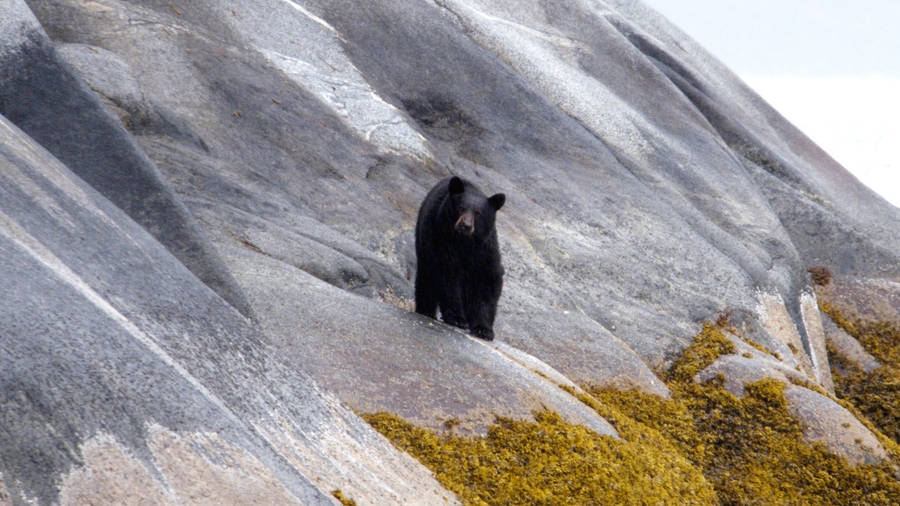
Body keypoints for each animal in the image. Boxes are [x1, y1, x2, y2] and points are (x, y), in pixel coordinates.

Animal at [415, 176, 505, 340]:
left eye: (478, 212)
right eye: (461, 207)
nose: (465, 225)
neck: (464, 243)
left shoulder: (485, 249)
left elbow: (488, 281)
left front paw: (483, 329)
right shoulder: (442, 241)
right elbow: (448, 278)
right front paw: (457, 318)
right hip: (424, 246)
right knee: (426, 280)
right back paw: (426, 310)